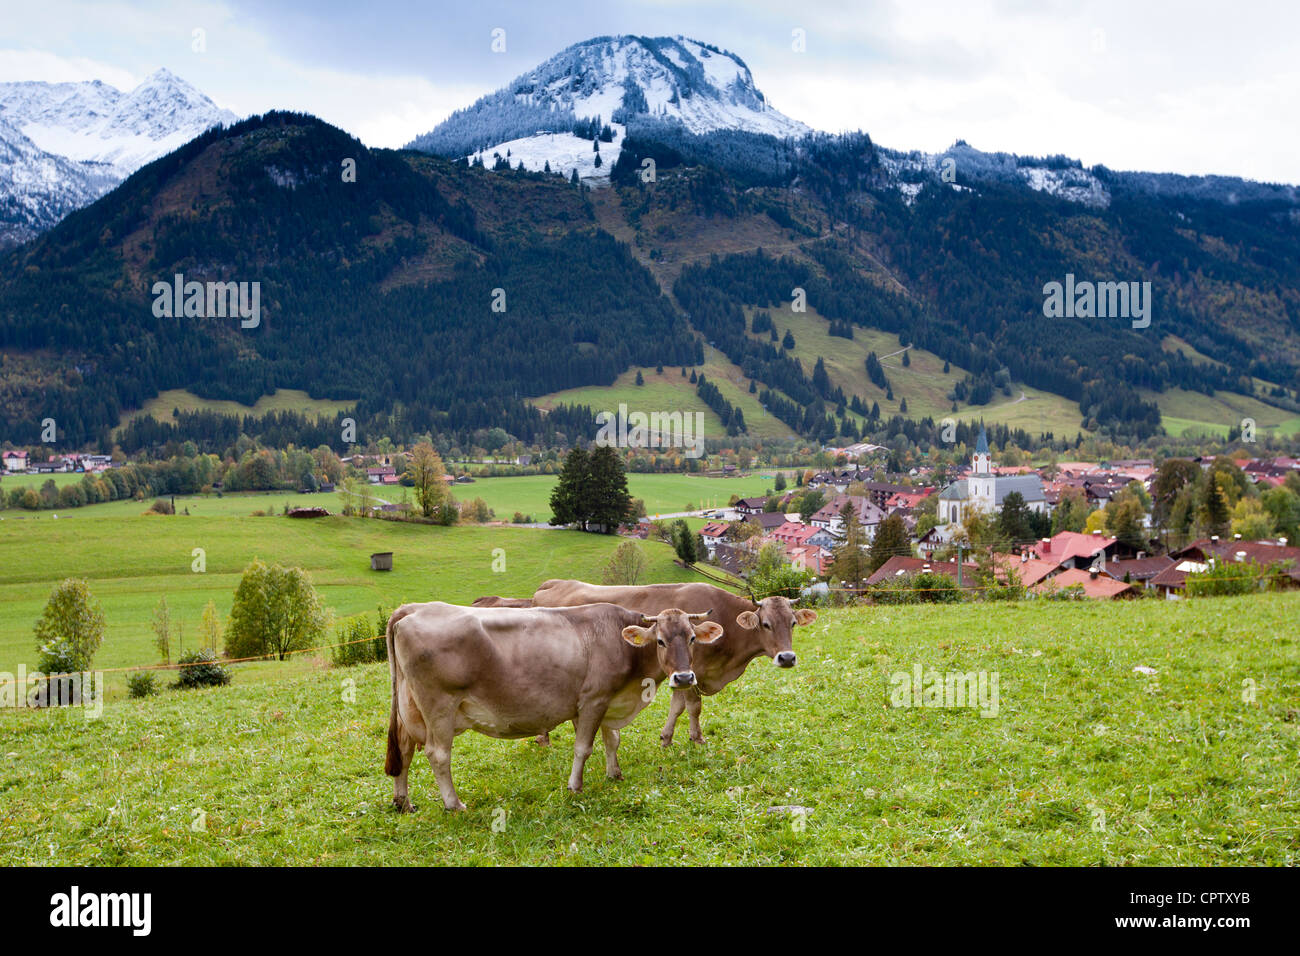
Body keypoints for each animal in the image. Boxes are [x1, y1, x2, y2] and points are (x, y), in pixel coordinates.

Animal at [379, 600, 728, 811]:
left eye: (692, 638)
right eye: (661, 641)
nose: (684, 677)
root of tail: (413, 608)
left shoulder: (605, 701)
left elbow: (612, 740)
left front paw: (614, 773)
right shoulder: (593, 700)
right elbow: (583, 748)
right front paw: (575, 786)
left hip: (409, 707)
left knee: (404, 752)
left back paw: (403, 802)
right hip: (439, 706)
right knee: (438, 754)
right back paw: (454, 804)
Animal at [527, 582, 811, 749]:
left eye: (793, 623)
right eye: (766, 624)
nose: (787, 658)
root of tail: (552, 584)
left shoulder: (683, 673)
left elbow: (678, 707)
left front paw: (667, 738)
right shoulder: (695, 671)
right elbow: (694, 707)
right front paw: (697, 738)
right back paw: (544, 738)